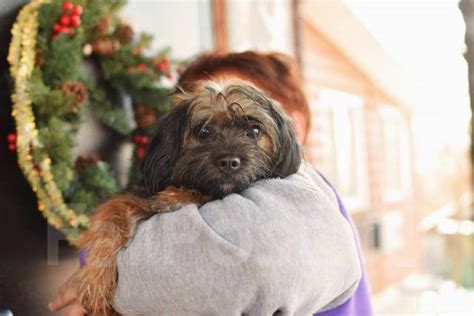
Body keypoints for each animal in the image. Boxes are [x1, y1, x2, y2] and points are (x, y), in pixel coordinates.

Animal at [69, 80, 302, 314]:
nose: (229, 162)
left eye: (254, 130)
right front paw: (95, 279)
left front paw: (175, 197)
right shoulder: (137, 198)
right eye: (204, 131)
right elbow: (112, 213)